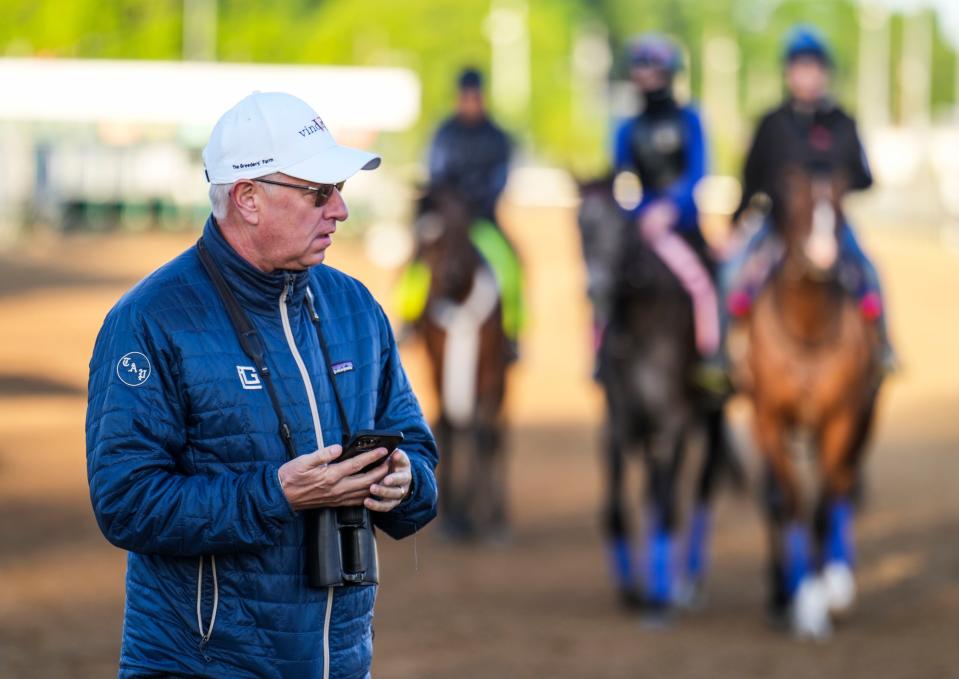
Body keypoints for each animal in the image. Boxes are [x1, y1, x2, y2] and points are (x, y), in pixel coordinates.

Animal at [410, 186, 512, 540]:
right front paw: (456, 516)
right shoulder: (439, 363)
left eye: (463, 227)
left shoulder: (491, 369)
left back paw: (498, 513)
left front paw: (486, 517)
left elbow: (482, 432)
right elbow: (449, 426)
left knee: (496, 433)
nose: (449, 273)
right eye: (425, 234)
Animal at [576, 177, 728, 616]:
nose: (596, 289)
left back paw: (688, 584)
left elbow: (667, 509)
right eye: (580, 227)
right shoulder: (617, 426)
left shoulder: (673, 424)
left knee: (699, 490)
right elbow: (614, 509)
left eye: (619, 229)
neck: (639, 323)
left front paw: (660, 599)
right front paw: (632, 589)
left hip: (711, 421)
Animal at [752, 167, 884, 640]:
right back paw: (782, 592)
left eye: (840, 202)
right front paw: (800, 601)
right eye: (797, 202)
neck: (807, 332)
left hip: (864, 419)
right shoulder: (769, 420)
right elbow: (789, 501)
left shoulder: (840, 420)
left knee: (843, 483)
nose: (823, 255)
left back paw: (839, 581)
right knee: (775, 498)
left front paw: (821, 596)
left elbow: (823, 508)